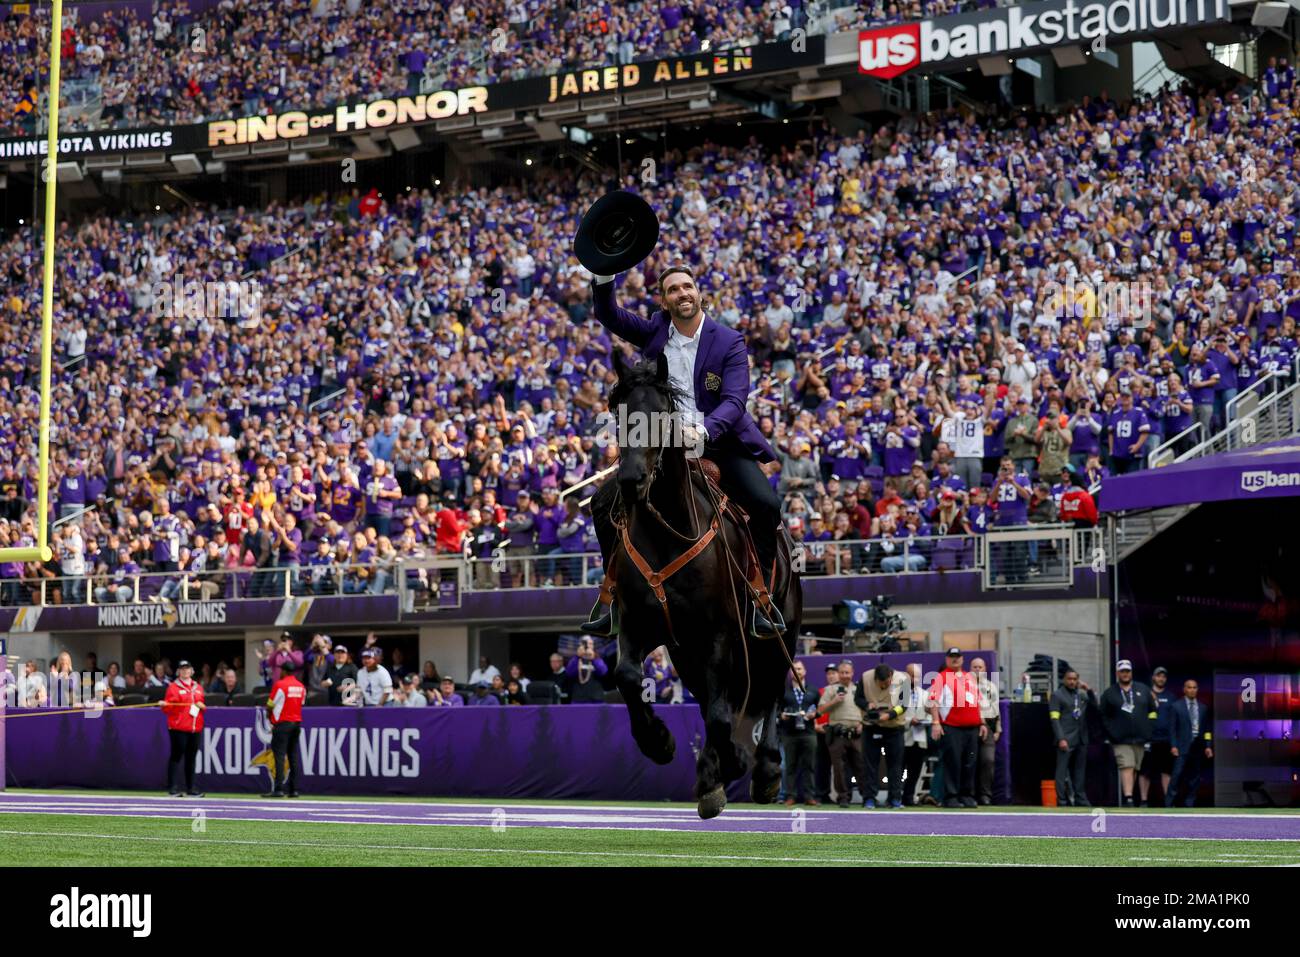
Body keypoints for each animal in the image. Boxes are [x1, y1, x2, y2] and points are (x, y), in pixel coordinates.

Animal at [590, 356, 800, 816]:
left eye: (662, 414)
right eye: (618, 414)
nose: (631, 481)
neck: (667, 532)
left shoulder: (720, 632)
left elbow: (723, 714)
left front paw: (728, 766)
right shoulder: (639, 624)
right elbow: (628, 677)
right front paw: (659, 742)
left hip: (781, 630)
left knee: (773, 689)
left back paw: (766, 771)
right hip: (685, 651)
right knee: (712, 699)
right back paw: (716, 769)